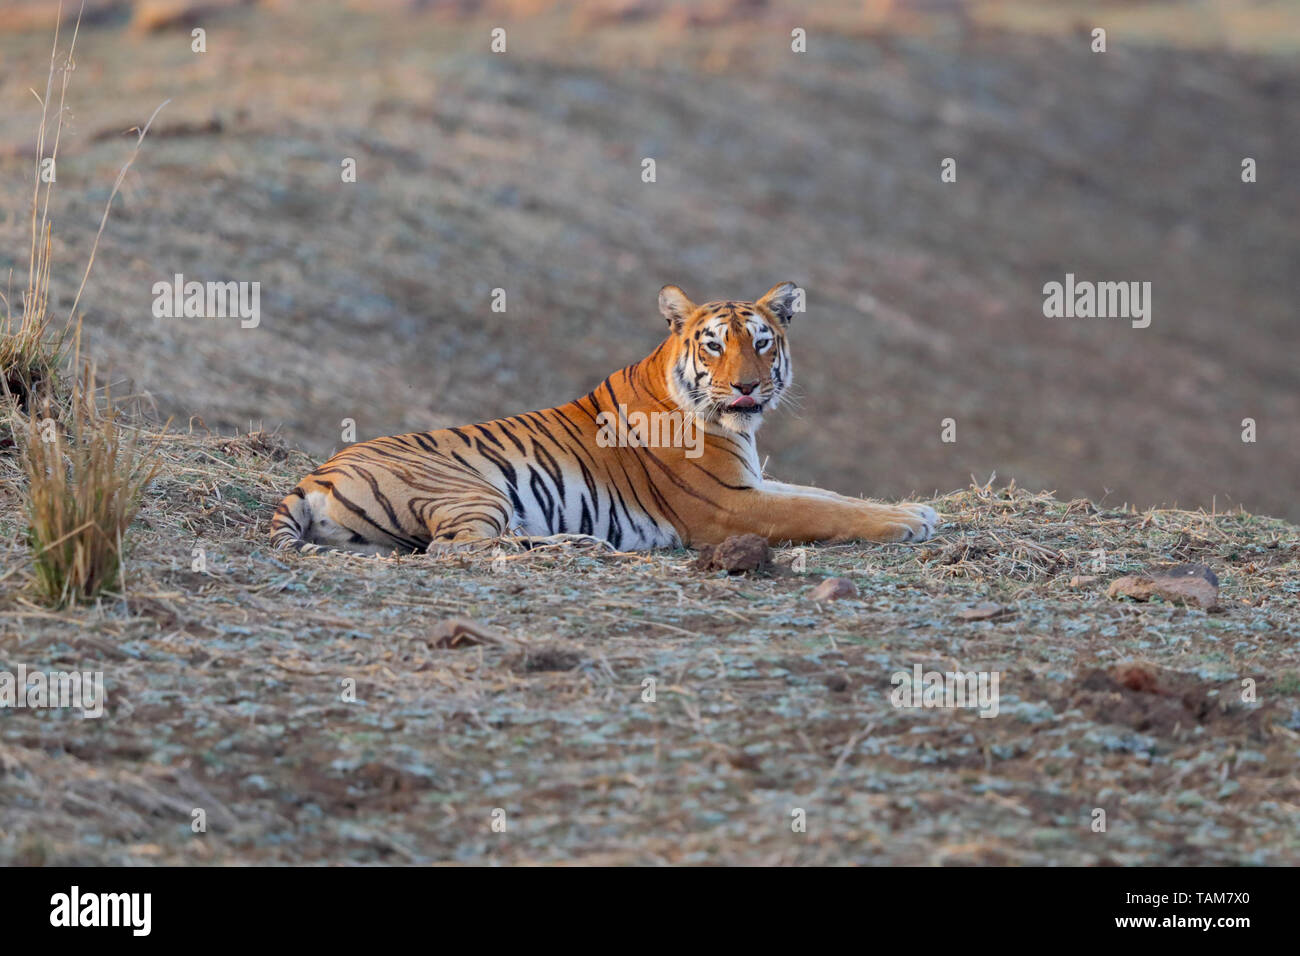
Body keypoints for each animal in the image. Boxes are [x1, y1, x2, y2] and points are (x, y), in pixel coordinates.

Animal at [271, 280, 935, 556]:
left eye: (762, 342)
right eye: (714, 345)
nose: (747, 386)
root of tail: (311, 477)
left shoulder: (753, 481)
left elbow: (828, 494)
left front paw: (914, 510)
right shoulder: (731, 505)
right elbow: (821, 511)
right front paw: (906, 524)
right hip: (471, 488)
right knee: (455, 549)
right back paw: (577, 547)